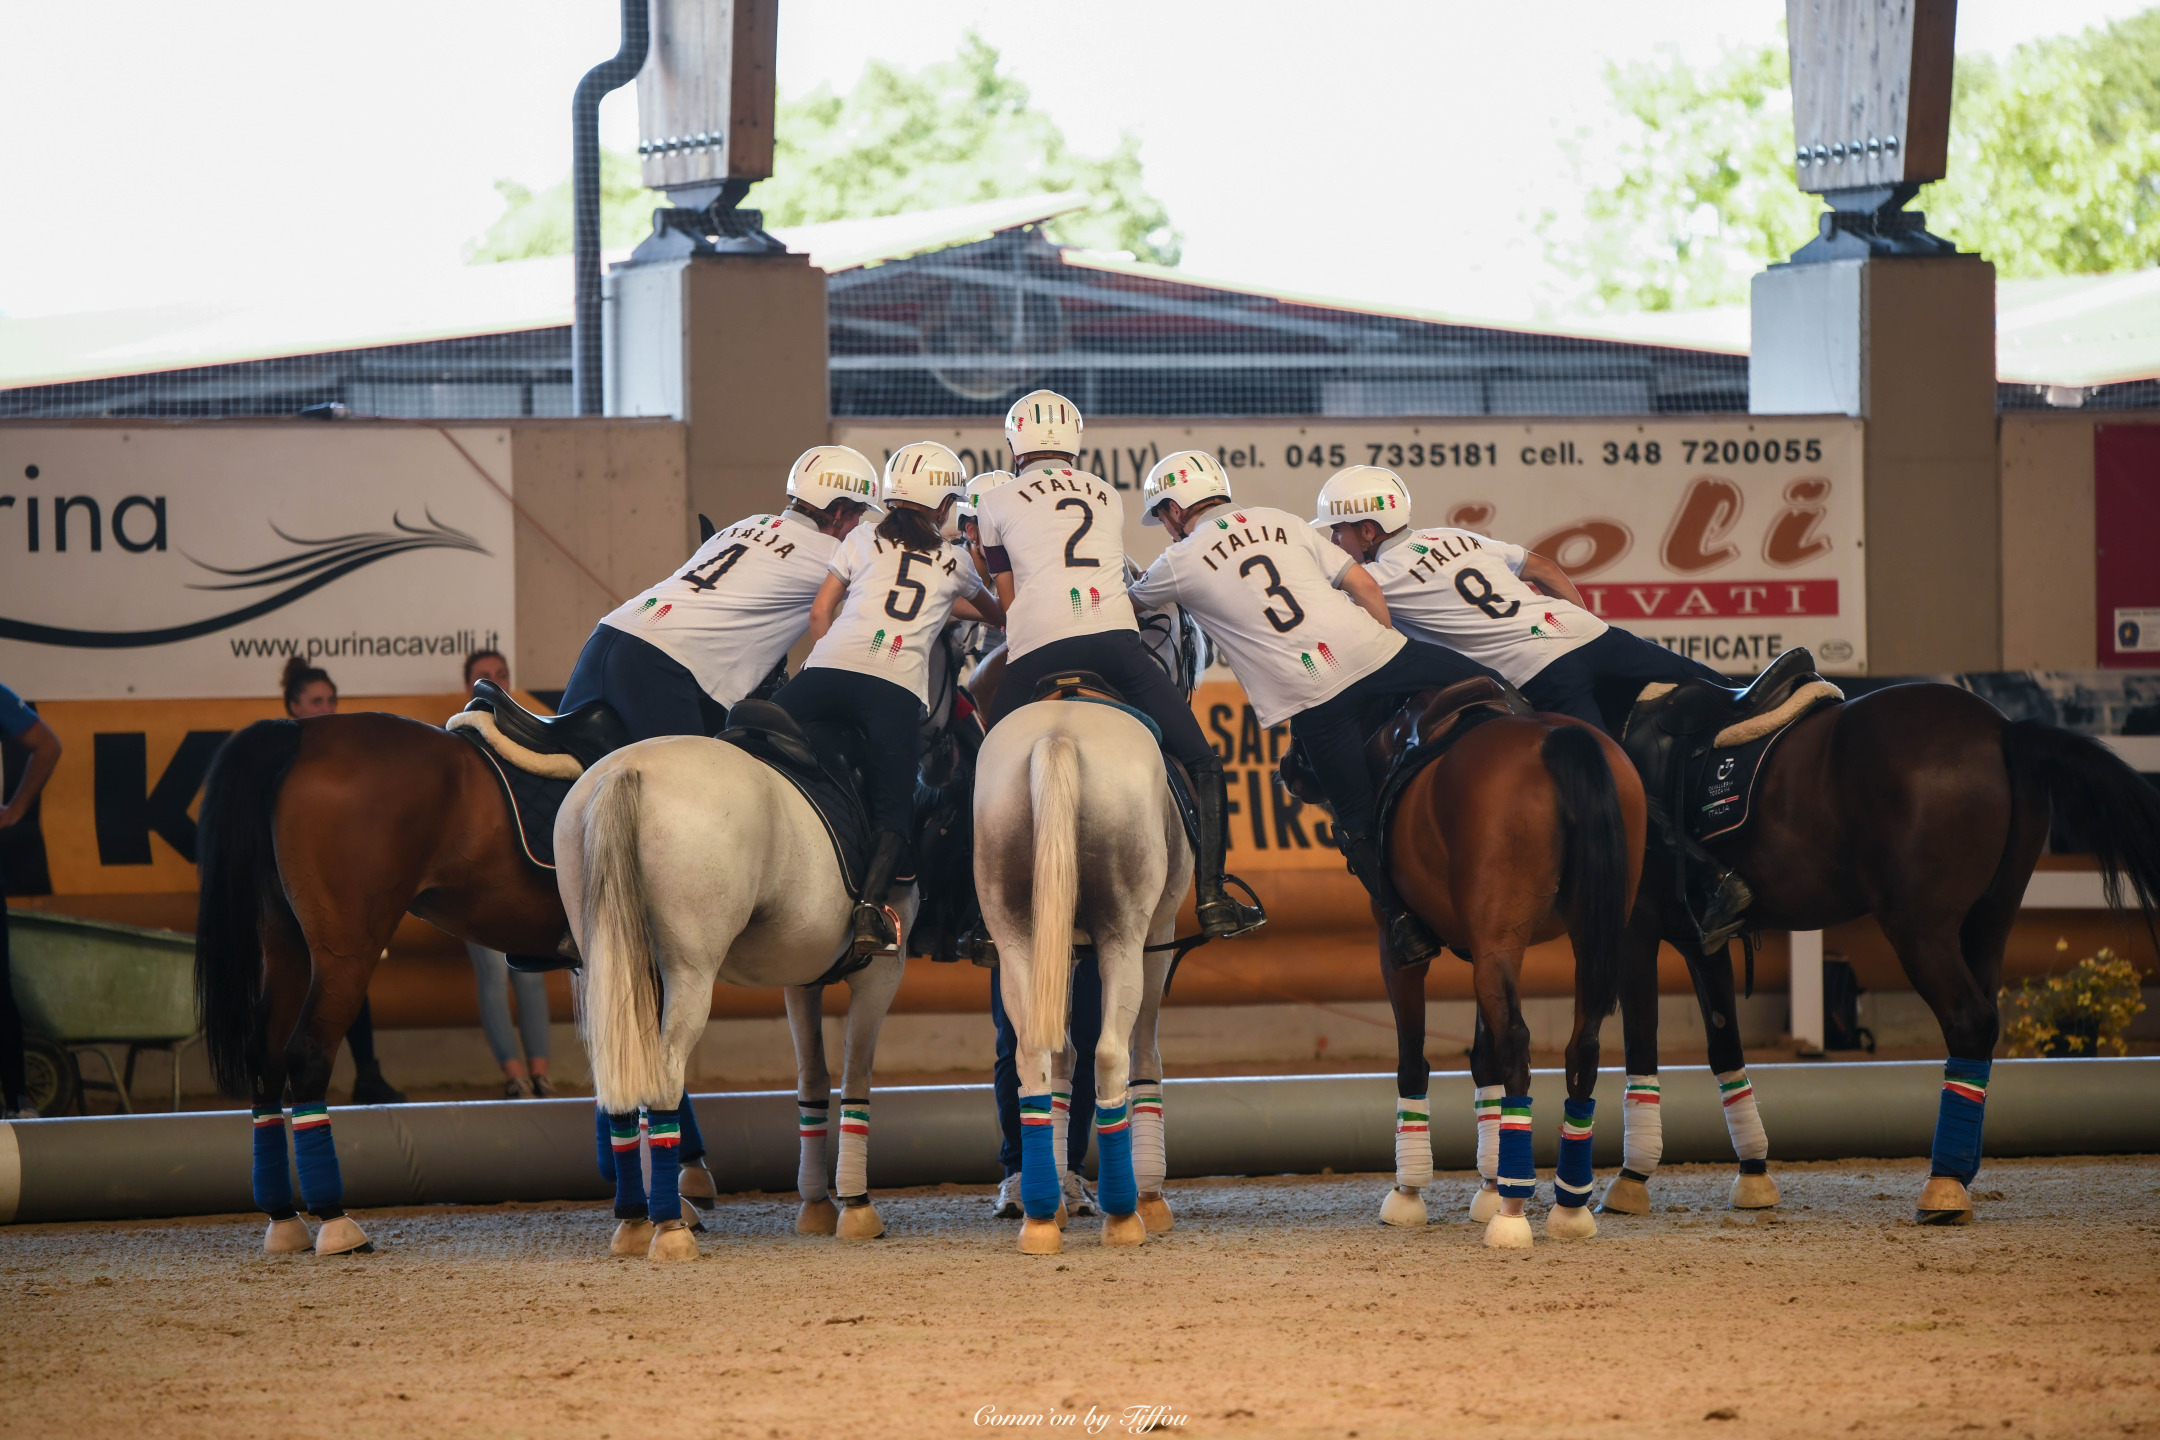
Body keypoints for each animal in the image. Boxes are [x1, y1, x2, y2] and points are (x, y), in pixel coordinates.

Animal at [191, 716, 578, 1252]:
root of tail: (301, 729)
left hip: (287, 947)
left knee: (265, 1059)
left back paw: (285, 1220)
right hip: (346, 952)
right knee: (308, 1054)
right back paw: (336, 1223)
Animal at [976, 703, 1192, 1252]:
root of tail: (1059, 735)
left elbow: (1062, 1062)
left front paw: (1057, 1199)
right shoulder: (1157, 933)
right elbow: (1144, 1052)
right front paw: (1151, 1197)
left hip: (1017, 930)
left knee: (1034, 1057)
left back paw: (1038, 1216)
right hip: (1124, 931)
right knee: (1112, 1055)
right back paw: (1124, 1215)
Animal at [1296, 686, 1650, 1252]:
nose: (1287, 768)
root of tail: (1557, 739)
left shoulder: (1399, 953)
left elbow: (1413, 1061)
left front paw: (1409, 1193)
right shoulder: (1484, 947)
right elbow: (1485, 1060)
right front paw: (1487, 1184)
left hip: (1497, 946)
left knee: (1521, 1046)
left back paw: (1513, 1211)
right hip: (1574, 942)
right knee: (1582, 1048)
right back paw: (1568, 1206)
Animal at [1598, 682, 2151, 1226]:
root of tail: (2003, 730)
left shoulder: (1634, 933)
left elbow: (1641, 1047)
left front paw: (1631, 1179)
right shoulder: (1700, 942)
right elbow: (1724, 1048)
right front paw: (1753, 1174)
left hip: (1919, 929)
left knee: (1969, 1021)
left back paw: (1943, 1184)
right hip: (1990, 922)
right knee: (1982, 1030)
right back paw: (1961, 1169)